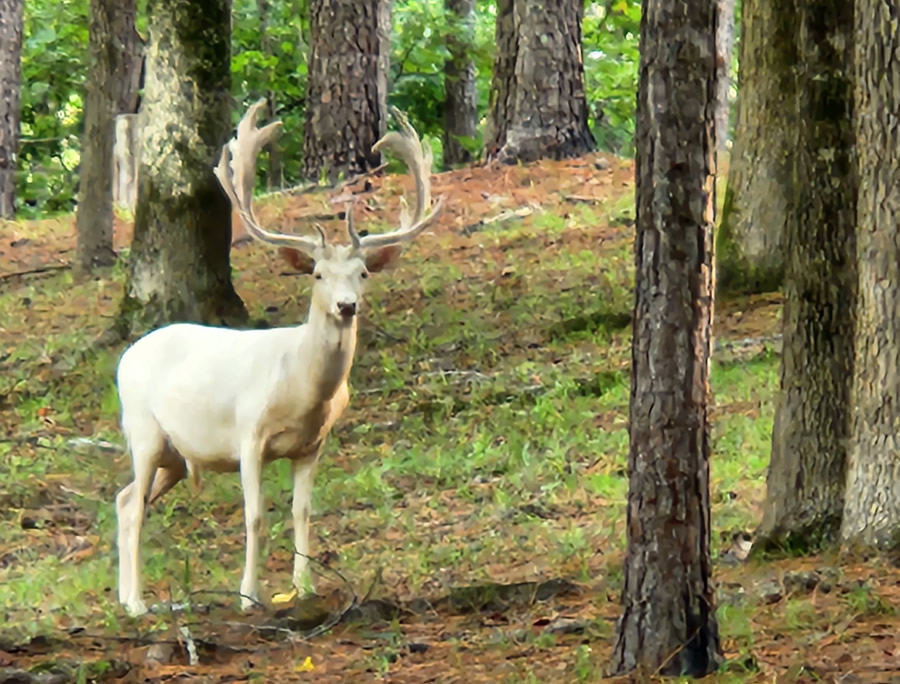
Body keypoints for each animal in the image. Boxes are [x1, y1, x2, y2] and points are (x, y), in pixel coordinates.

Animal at [114, 99, 443, 617]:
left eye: (364, 273)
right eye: (317, 274)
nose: (346, 306)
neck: (304, 391)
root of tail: (125, 358)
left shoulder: (313, 445)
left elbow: (302, 510)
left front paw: (304, 588)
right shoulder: (249, 435)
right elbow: (254, 516)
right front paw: (249, 595)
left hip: (175, 456)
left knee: (127, 498)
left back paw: (127, 597)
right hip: (143, 429)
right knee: (132, 503)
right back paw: (136, 604)